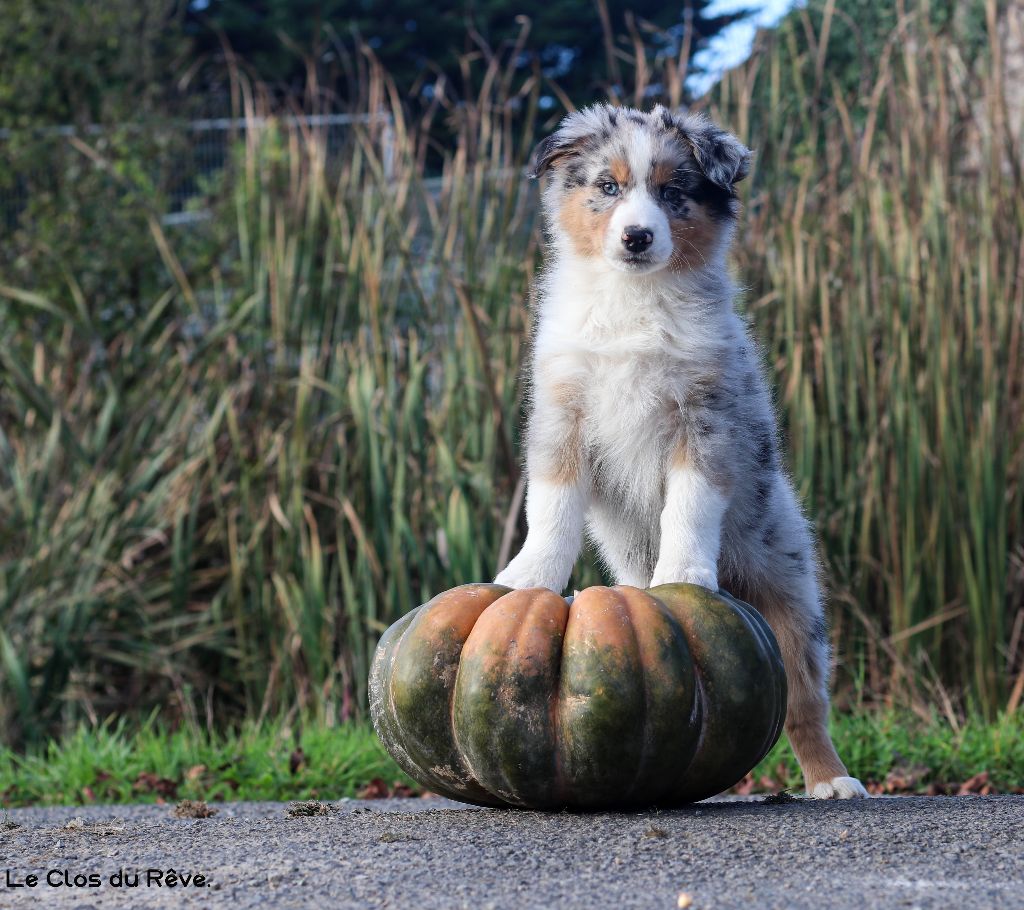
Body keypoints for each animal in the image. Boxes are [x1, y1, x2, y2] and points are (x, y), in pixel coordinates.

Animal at [493, 102, 864, 794]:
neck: (632, 302)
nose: (637, 237)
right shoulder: (563, 412)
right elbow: (551, 509)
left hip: (793, 601)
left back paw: (831, 780)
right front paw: (528, 576)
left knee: (805, 703)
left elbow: (687, 507)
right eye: (607, 186)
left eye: (673, 192)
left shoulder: (705, 418)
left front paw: (686, 574)